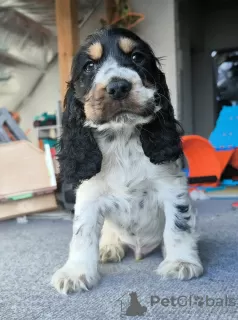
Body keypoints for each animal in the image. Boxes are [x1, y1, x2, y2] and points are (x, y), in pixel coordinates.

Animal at [51, 27, 203, 296]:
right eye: (89, 66)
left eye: (136, 58)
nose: (118, 87)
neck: (122, 137)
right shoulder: (88, 196)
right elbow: (82, 234)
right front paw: (76, 273)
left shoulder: (171, 187)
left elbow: (178, 225)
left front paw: (181, 261)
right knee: (109, 232)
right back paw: (109, 247)